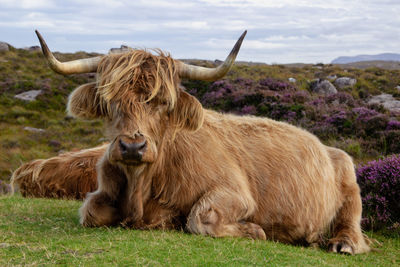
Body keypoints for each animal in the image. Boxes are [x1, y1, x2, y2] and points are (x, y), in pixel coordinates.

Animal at [11, 30, 368, 255]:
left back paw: (342, 244)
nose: (132, 147)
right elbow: (91, 211)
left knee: (351, 222)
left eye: (162, 102)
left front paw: (255, 231)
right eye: (110, 101)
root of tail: (328, 147)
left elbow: (200, 218)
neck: (143, 184)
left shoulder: (235, 192)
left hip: (350, 186)